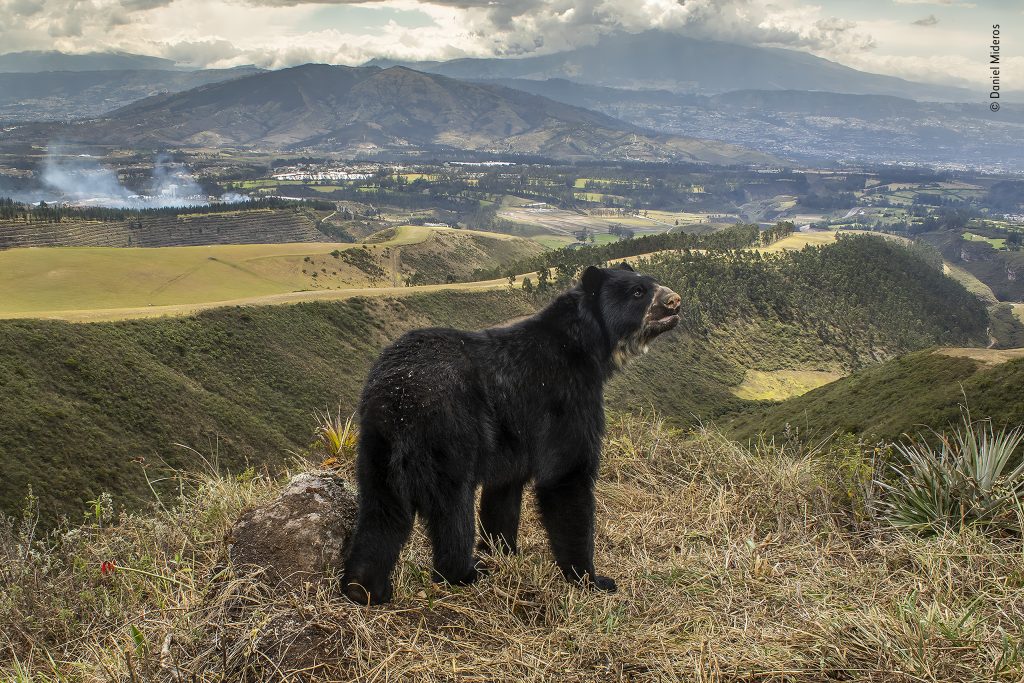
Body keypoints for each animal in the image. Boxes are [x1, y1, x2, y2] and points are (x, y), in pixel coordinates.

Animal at [341, 263, 682, 605]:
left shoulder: (515, 438)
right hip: (449, 435)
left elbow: (503, 491)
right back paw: (464, 573)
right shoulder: (564, 398)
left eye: (650, 283)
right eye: (638, 292)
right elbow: (566, 476)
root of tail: (398, 397)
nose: (675, 301)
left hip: (376, 445)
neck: (585, 345)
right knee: (452, 512)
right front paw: (591, 579)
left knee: (383, 513)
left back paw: (364, 587)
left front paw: (503, 550)